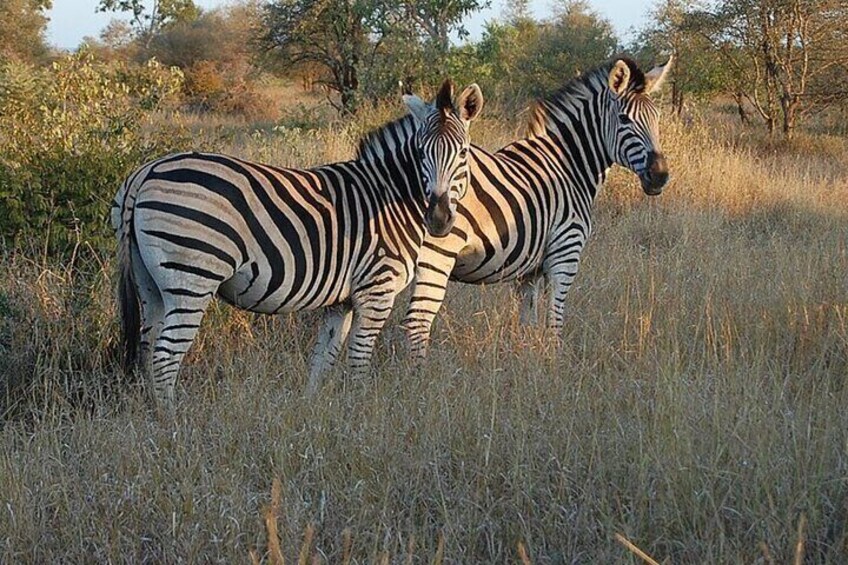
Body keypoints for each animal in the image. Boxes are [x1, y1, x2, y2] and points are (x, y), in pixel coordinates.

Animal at [112, 79, 484, 409]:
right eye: (421, 153)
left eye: (463, 153)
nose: (438, 219)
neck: (390, 194)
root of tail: (145, 172)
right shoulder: (376, 289)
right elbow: (359, 359)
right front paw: (362, 409)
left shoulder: (343, 300)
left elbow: (323, 358)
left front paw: (314, 410)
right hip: (191, 276)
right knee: (164, 357)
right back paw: (172, 423)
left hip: (150, 283)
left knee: (147, 348)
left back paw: (151, 415)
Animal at [402, 57, 672, 359]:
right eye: (624, 119)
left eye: (657, 118)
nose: (660, 175)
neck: (569, 165)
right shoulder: (565, 253)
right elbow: (555, 319)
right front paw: (554, 362)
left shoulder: (528, 270)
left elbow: (527, 321)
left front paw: (526, 358)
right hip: (437, 254)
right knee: (417, 321)